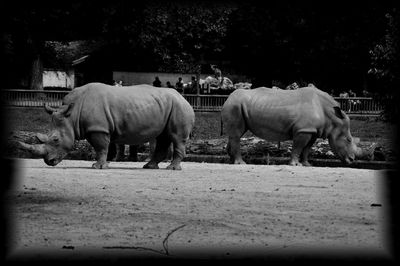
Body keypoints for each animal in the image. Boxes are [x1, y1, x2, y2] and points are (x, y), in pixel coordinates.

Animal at [20, 82, 195, 170]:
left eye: (56, 140)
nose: (48, 161)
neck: (72, 115)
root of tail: (184, 98)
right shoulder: (95, 128)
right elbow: (102, 147)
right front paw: (103, 164)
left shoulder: (98, 128)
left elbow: (101, 147)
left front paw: (98, 167)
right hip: (168, 106)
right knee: (163, 137)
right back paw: (149, 167)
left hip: (179, 107)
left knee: (176, 137)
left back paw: (172, 168)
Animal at [222, 86, 372, 165]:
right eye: (349, 140)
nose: (352, 160)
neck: (332, 117)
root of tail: (227, 98)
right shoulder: (303, 130)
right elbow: (298, 147)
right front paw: (295, 164)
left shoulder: (313, 131)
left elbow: (307, 148)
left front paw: (306, 164)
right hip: (235, 106)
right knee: (237, 134)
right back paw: (241, 163)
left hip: (238, 106)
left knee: (236, 133)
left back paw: (232, 162)